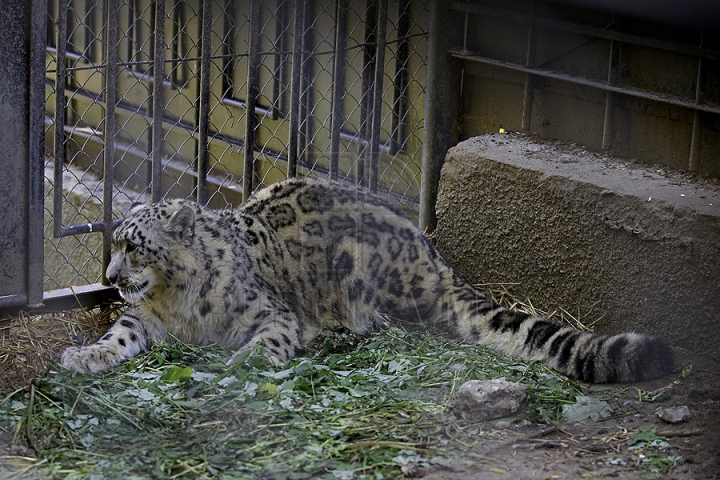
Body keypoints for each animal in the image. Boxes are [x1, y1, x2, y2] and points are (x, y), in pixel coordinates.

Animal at [60, 176, 676, 382]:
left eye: (134, 247)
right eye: (115, 242)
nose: (109, 276)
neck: (179, 302)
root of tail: (430, 252)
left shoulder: (271, 313)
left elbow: (269, 338)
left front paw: (243, 363)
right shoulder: (144, 315)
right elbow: (119, 334)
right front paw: (83, 357)